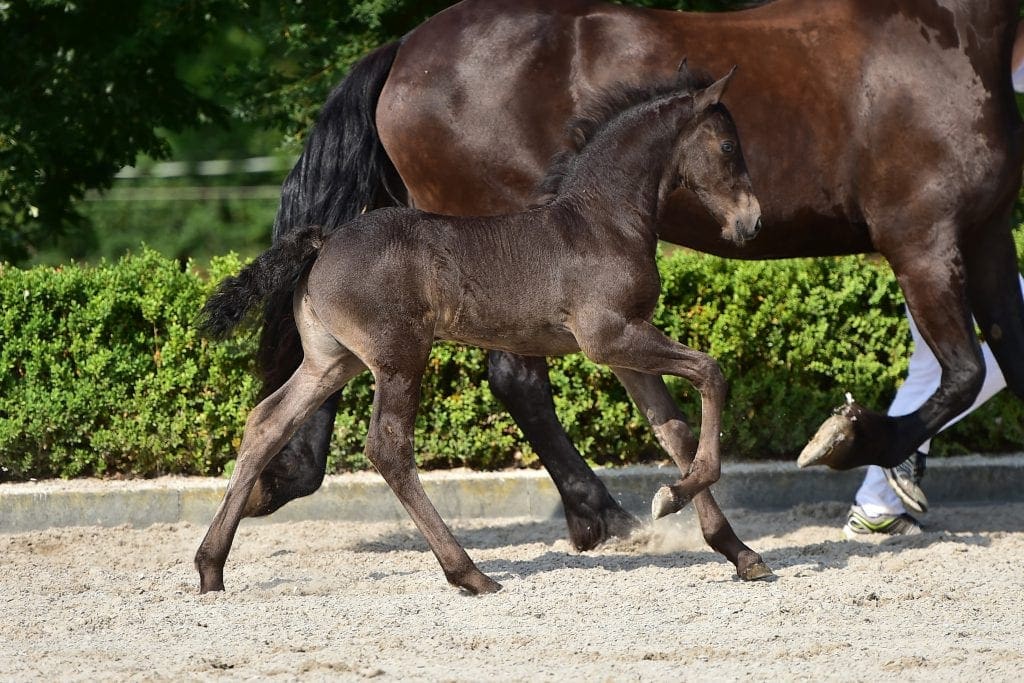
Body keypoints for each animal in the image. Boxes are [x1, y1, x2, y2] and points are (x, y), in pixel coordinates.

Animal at [195, 68, 771, 594]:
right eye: (727, 145)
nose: (752, 222)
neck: (602, 222)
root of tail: (322, 241)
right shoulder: (609, 337)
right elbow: (710, 372)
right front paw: (671, 497)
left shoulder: (626, 346)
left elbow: (673, 429)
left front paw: (737, 551)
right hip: (400, 356)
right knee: (388, 447)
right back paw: (468, 572)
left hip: (332, 360)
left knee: (267, 422)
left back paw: (210, 568)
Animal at [255, 0, 1024, 554]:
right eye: (729, 145)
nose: (751, 220)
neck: (953, 34)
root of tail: (405, 47)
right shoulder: (922, 239)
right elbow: (964, 372)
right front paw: (850, 441)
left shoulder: (987, 235)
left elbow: (1002, 362)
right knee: (513, 377)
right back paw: (603, 516)